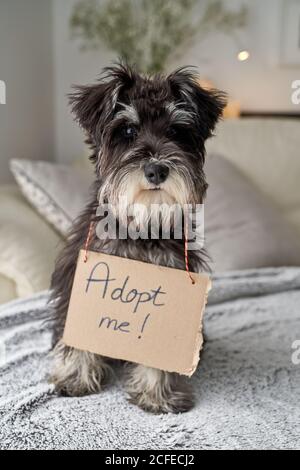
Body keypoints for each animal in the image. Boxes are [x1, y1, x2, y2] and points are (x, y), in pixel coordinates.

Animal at [49, 63, 226, 414]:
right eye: (128, 131)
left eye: (176, 131)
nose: (156, 170)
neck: (142, 225)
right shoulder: (77, 281)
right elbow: (75, 336)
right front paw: (75, 377)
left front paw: (157, 394)